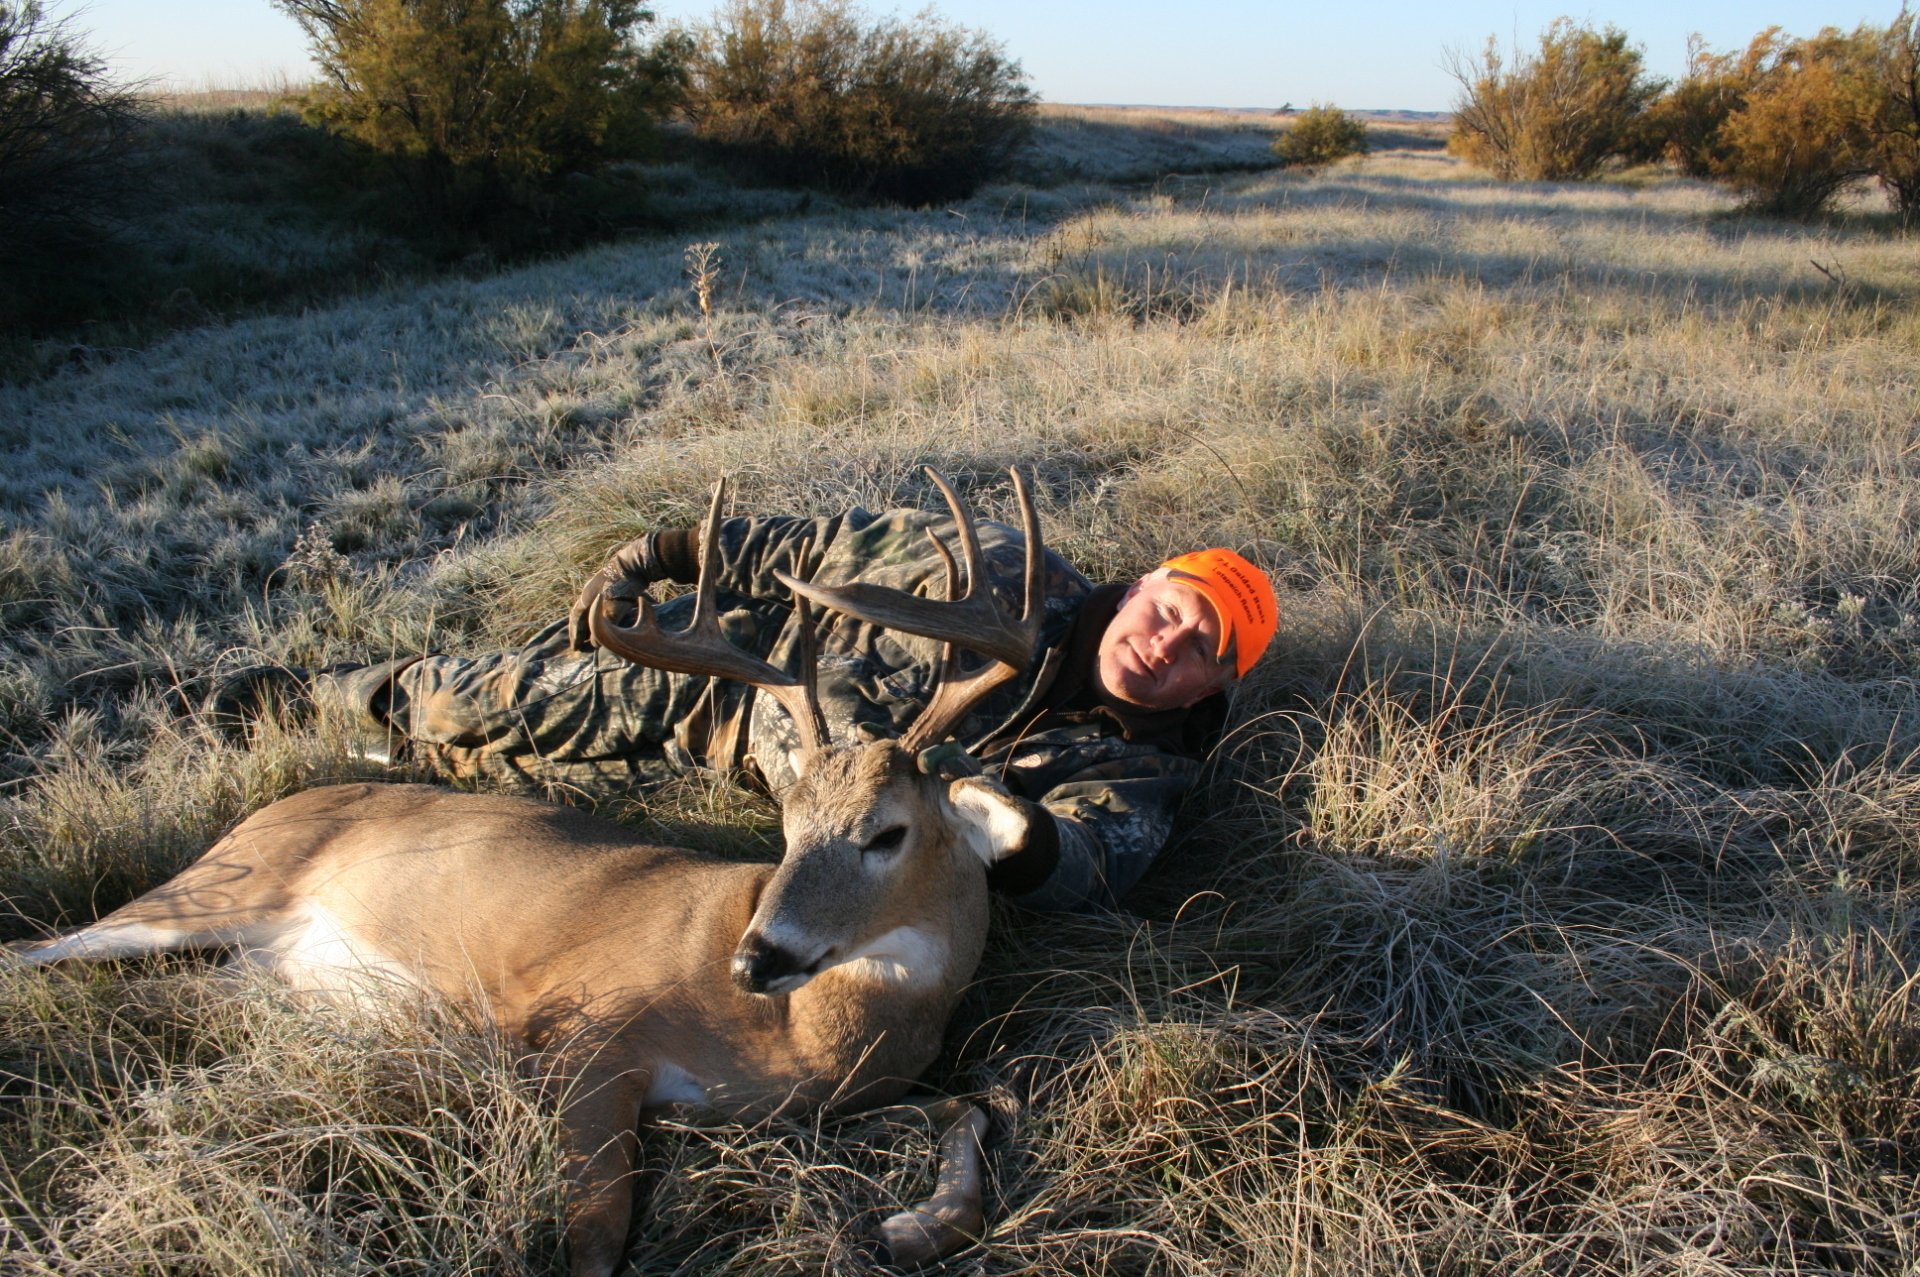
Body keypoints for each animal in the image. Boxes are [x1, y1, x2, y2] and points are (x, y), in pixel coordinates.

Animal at [8, 469, 1052, 1277]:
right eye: (788, 828)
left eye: (885, 833)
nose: (754, 958)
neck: (798, 1039)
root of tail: (269, 808)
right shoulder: (587, 1030)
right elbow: (594, 1240)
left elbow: (980, 1103)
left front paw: (913, 1223)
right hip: (217, 888)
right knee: (37, 949)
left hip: (250, 967)